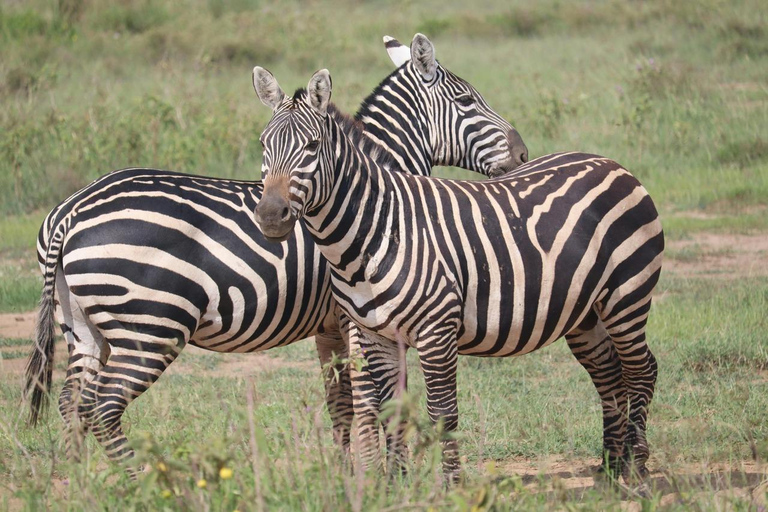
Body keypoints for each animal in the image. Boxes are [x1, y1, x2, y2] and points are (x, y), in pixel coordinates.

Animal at [24, 34, 528, 474]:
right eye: (467, 102)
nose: (523, 153)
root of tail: (70, 210)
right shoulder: (356, 319)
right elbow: (368, 405)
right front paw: (369, 477)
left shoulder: (329, 326)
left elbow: (340, 405)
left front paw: (344, 476)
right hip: (149, 326)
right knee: (102, 408)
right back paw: (137, 481)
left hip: (83, 327)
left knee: (72, 403)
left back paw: (79, 483)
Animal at [255, 66, 664, 486]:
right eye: (263, 145)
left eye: (312, 146)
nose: (270, 216)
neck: (377, 229)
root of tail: (609, 162)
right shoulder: (373, 334)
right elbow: (392, 410)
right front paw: (396, 485)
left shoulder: (436, 331)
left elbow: (442, 414)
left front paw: (451, 486)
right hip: (585, 309)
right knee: (609, 373)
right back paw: (611, 466)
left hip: (627, 295)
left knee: (641, 369)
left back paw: (637, 464)